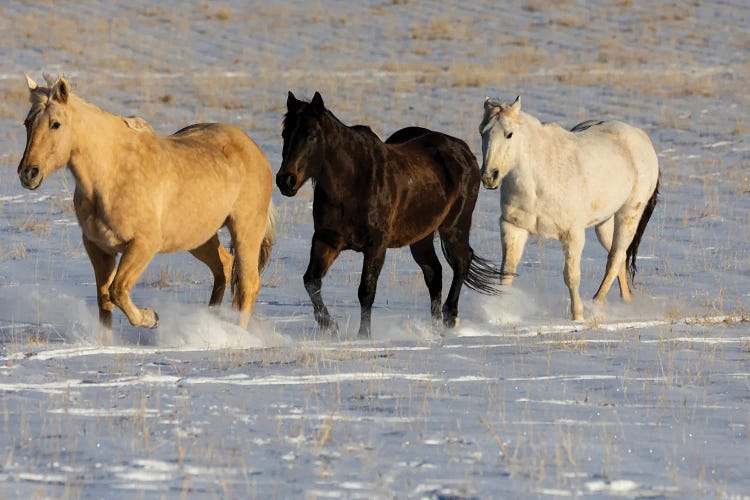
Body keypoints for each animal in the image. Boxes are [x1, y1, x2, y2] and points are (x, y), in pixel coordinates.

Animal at [17, 75, 276, 336]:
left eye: (56, 124)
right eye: (27, 123)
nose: (28, 173)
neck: (112, 173)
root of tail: (255, 150)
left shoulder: (143, 245)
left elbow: (118, 290)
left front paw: (151, 318)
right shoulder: (99, 248)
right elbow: (105, 299)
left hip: (245, 231)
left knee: (247, 284)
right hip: (199, 236)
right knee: (223, 267)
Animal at [276, 92, 500, 338]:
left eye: (312, 136)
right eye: (285, 134)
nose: (285, 180)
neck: (352, 183)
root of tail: (464, 151)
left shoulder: (376, 245)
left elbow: (366, 290)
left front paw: (364, 336)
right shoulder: (327, 240)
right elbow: (311, 281)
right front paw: (330, 326)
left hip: (455, 227)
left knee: (461, 262)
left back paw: (449, 318)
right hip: (421, 238)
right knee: (434, 273)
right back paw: (433, 328)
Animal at [478, 96, 660, 320]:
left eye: (509, 134)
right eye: (482, 131)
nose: (489, 176)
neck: (538, 181)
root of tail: (640, 136)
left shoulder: (572, 235)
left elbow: (571, 277)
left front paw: (578, 316)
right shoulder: (513, 228)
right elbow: (507, 272)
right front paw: (502, 313)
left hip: (628, 215)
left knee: (615, 258)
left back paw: (596, 305)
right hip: (605, 222)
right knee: (620, 257)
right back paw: (625, 302)